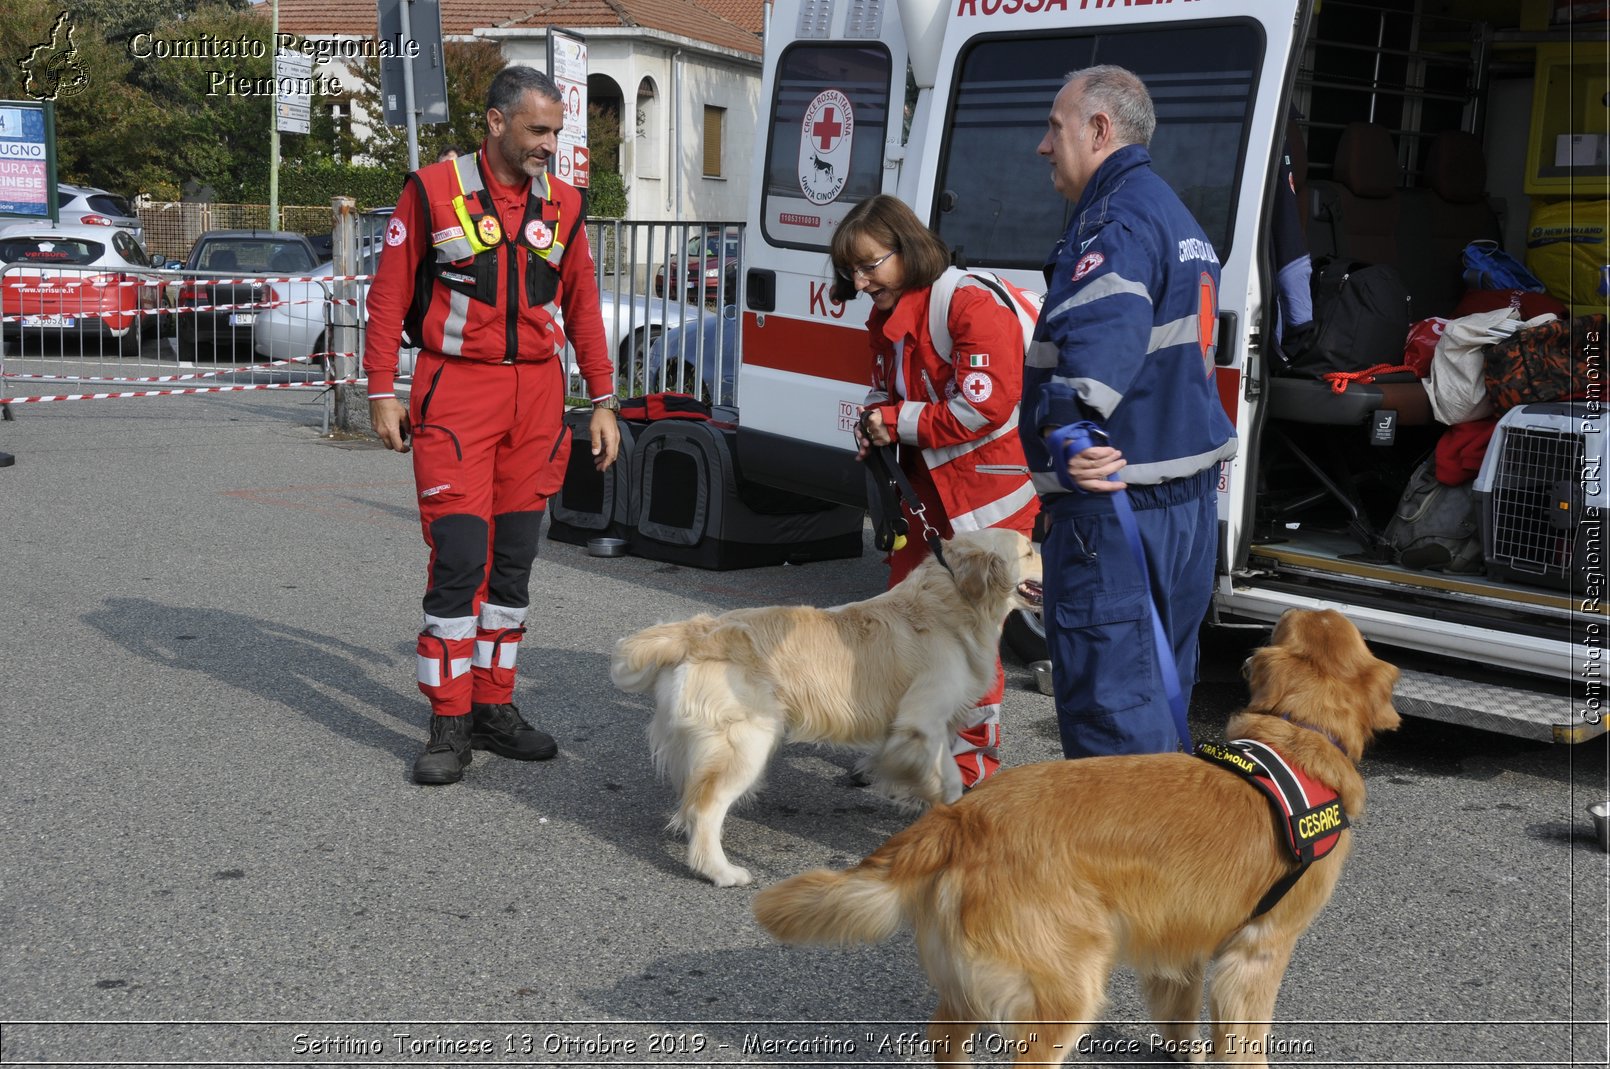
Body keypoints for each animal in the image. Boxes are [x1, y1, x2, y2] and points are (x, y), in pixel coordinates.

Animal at [605, 524, 1043, 882]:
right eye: (1027, 551)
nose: (1048, 544)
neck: (950, 601)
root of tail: (695, 630)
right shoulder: (923, 722)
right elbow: (948, 779)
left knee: (691, 798)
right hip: (746, 744)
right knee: (705, 808)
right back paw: (721, 870)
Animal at [753, 605, 1397, 1062]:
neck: (1300, 735)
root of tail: (965, 817)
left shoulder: (1182, 942)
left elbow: (1181, 1022)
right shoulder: (1258, 952)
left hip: (963, 996)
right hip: (1063, 995)